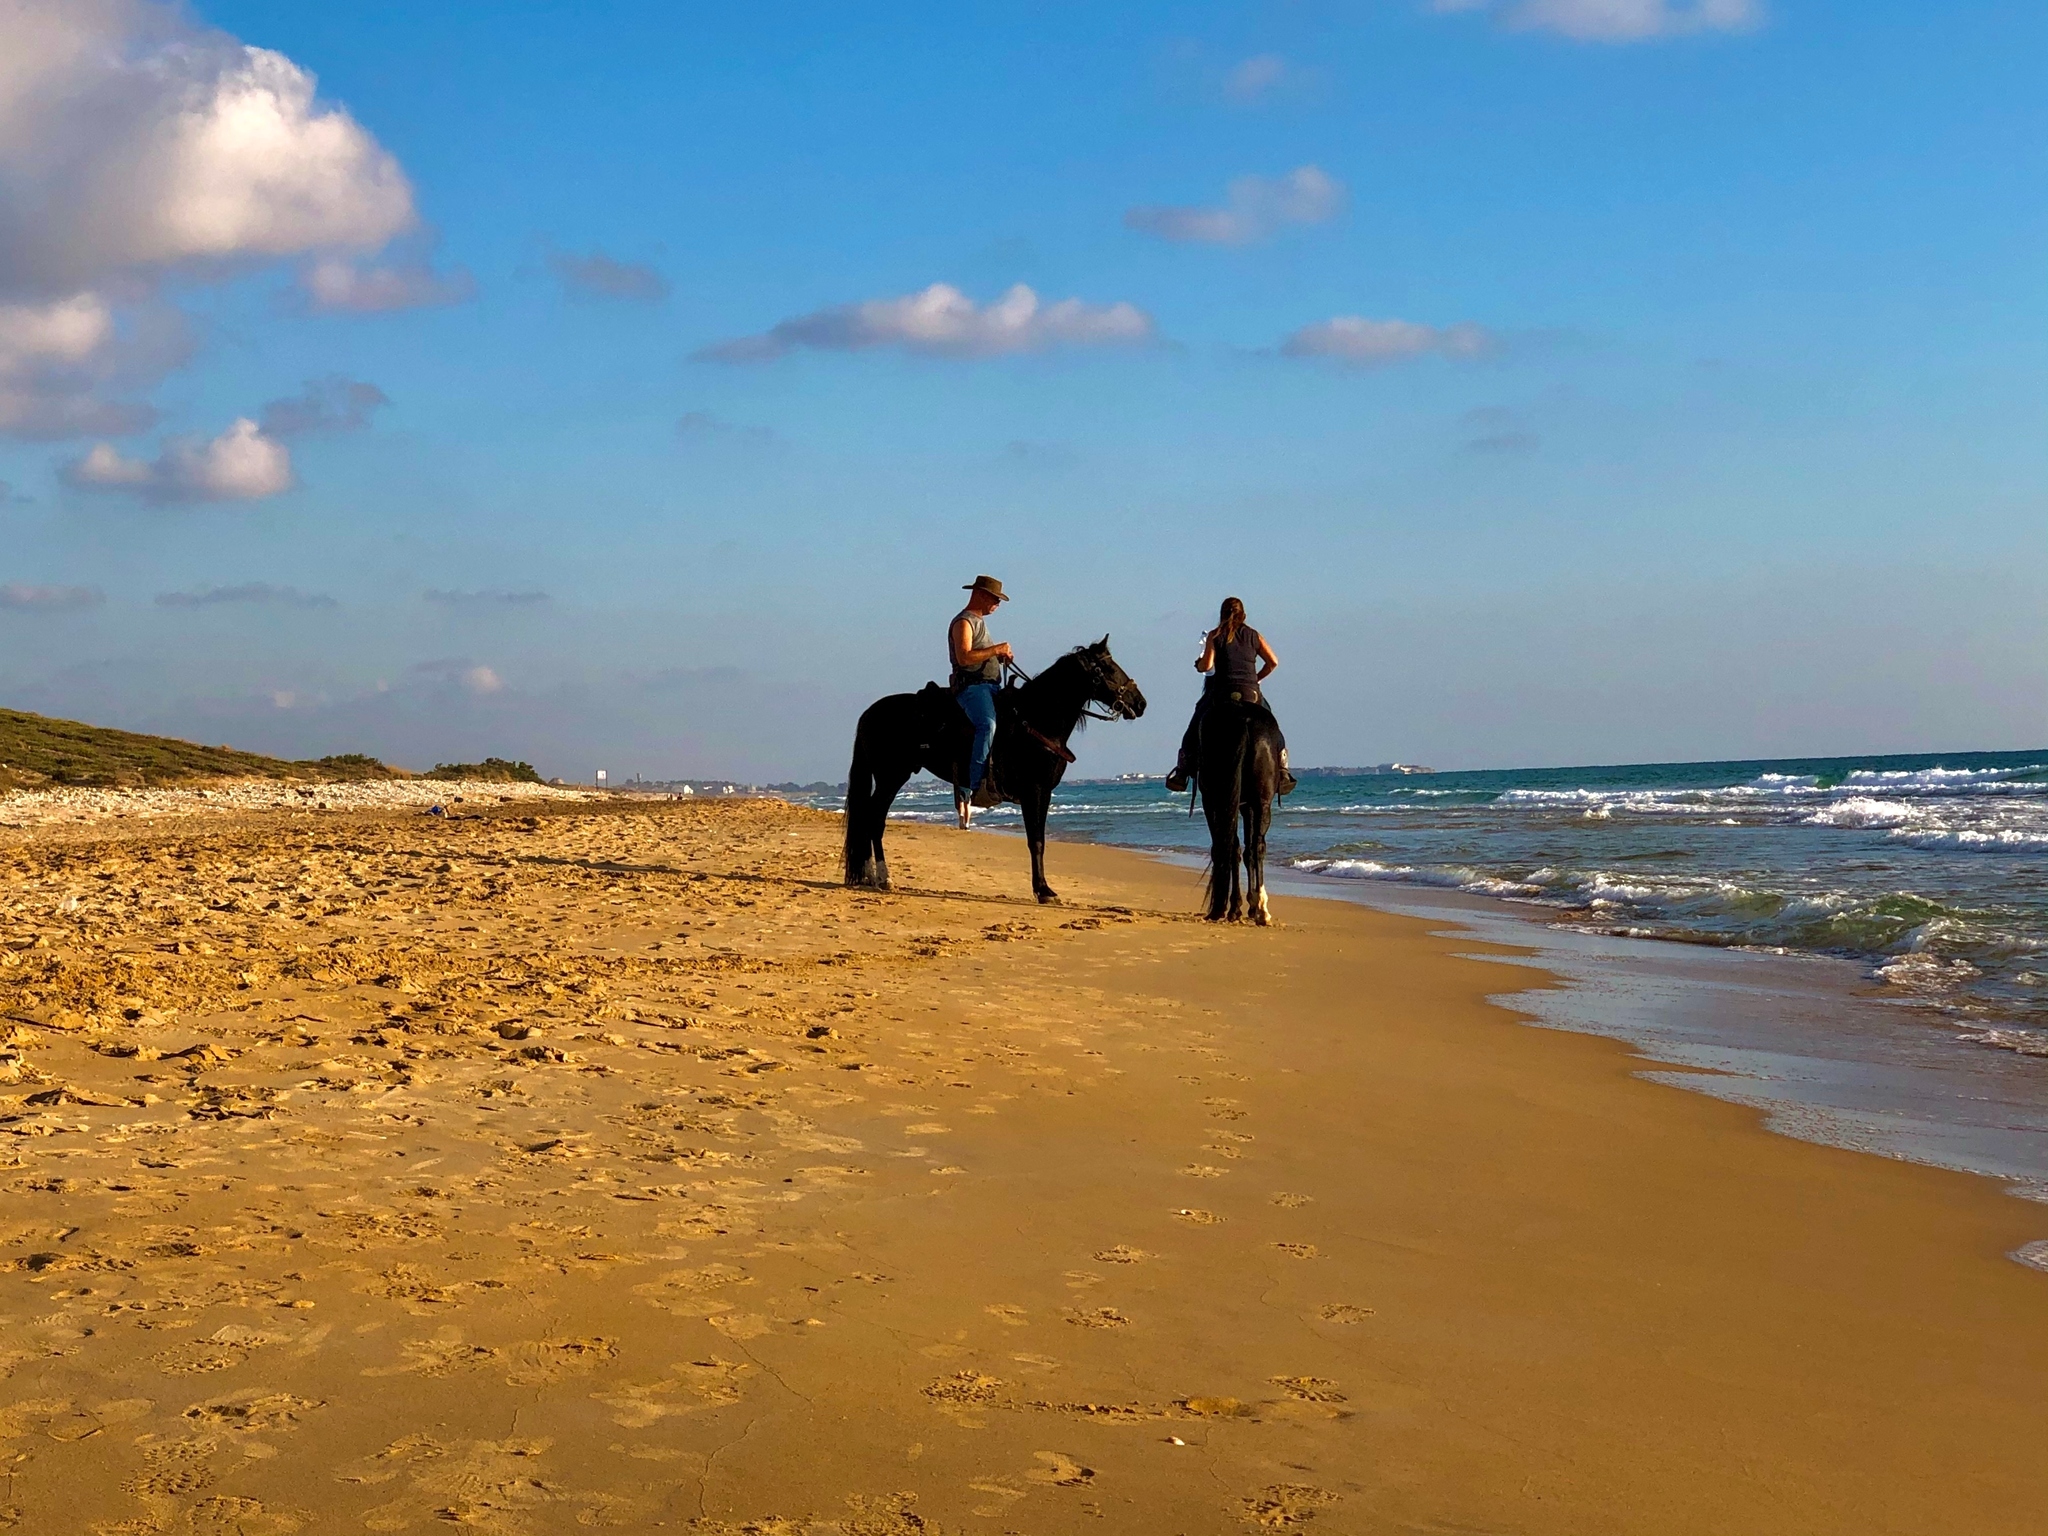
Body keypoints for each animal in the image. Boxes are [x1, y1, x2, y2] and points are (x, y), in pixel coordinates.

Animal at [839, 638, 1146, 901]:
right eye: (1108, 668)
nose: (1140, 703)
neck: (1037, 719)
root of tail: (869, 713)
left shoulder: (1044, 792)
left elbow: (1039, 840)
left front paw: (1044, 888)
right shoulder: (1033, 790)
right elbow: (1035, 841)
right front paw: (1043, 891)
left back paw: (869, 876)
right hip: (892, 776)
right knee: (874, 818)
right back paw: (883, 877)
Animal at [1196, 696, 1277, 925]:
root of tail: (1243, 717)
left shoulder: (1216, 803)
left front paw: (1238, 906)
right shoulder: (1246, 806)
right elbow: (1247, 850)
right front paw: (1248, 905)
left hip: (1220, 799)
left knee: (1234, 846)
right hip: (1260, 802)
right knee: (1257, 846)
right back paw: (1261, 909)